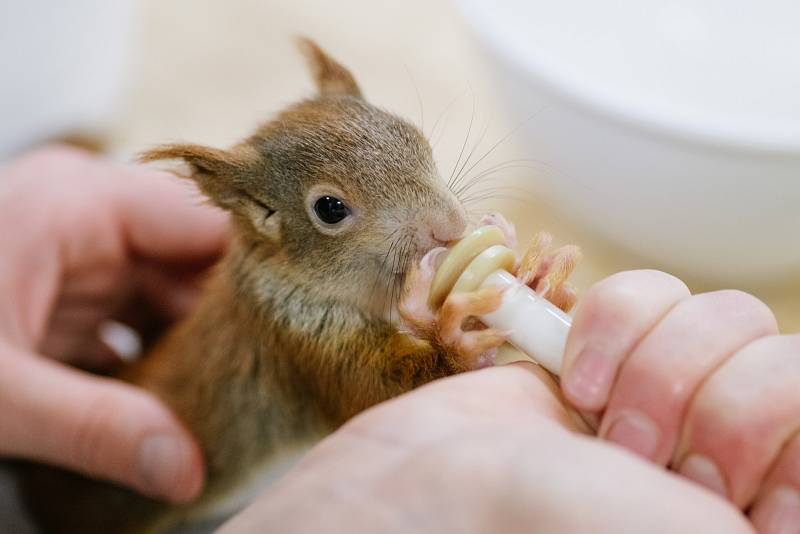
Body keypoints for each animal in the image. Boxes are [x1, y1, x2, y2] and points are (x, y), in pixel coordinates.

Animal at [21, 38, 580, 534]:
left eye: (412, 134)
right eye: (329, 209)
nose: (448, 227)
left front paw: (538, 273)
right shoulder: (299, 346)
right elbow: (379, 391)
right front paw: (454, 335)